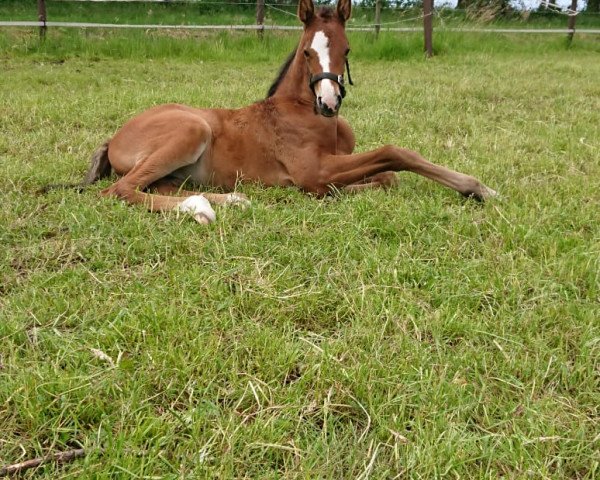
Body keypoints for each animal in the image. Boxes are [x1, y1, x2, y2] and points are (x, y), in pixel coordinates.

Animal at [84, 0, 496, 223]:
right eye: (308, 52)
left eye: (347, 49)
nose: (329, 103)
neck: (306, 113)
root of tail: (113, 136)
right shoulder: (313, 170)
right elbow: (394, 153)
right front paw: (478, 187)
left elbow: (386, 178)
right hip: (193, 129)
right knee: (120, 190)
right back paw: (203, 208)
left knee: (157, 186)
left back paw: (227, 200)